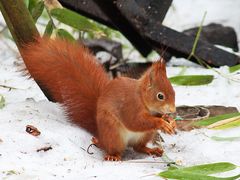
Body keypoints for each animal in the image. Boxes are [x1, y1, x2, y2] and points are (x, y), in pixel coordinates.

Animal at [21, 37, 176, 161]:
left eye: (174, 91)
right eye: (160, 96)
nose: (173, 110)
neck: (142, 99)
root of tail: (100, 135)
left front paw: (169, 120)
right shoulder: (130, 106)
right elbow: (135, 122)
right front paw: (161, 123)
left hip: (144, 135)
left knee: (138, 147)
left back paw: (151, 149)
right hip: (113, 133)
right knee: (114, 148)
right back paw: (113, 155)